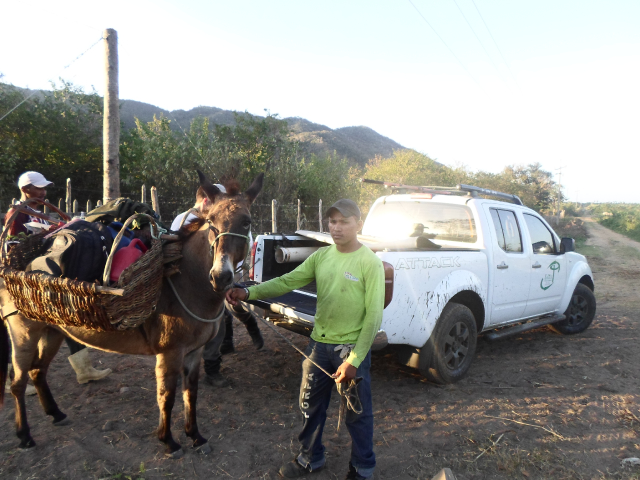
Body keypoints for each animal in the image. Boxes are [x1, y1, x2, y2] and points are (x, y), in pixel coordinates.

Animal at [0, 171, 263, 457]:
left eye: (247, 222)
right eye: (211, 221)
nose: (220, 276)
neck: (186, 283)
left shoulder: (193, 353)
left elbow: (190, 394)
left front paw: (195, 436)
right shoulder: (170, 353)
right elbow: (167, 396)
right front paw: (168, 441)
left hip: (52, 331)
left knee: (38, 371)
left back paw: (56, 414)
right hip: (23, 334)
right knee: (18, 382)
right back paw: (24, 435)